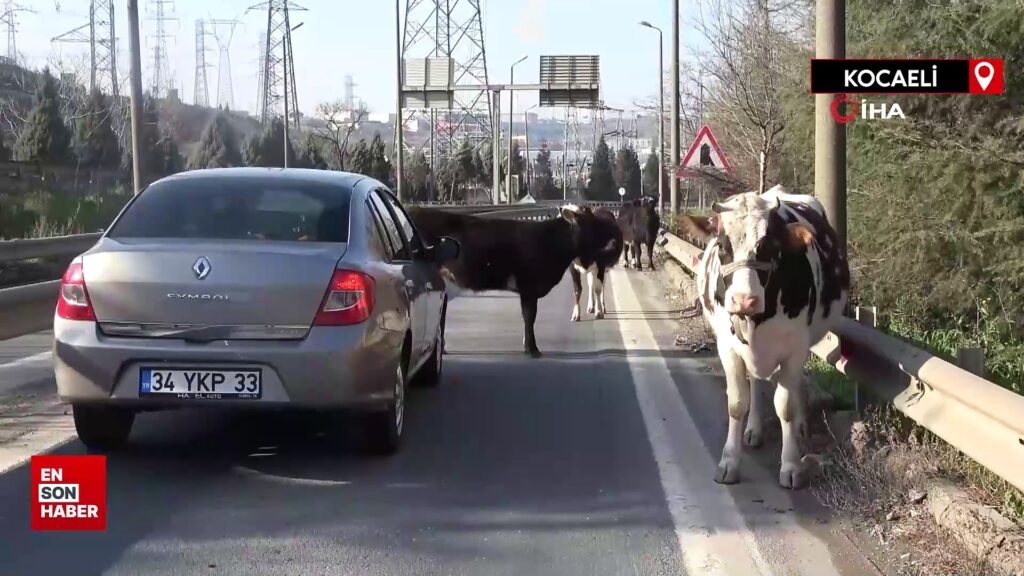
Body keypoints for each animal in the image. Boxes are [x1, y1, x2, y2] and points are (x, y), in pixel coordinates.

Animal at [405, 201, 614, 354]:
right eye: (591, 222)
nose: (613, 236)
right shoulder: (529, 286)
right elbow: (530, 316)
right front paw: (532, 348)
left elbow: (528, 317)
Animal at [679, 184, 847, 487]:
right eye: (722, 246)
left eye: (770, 246)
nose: (744, 300)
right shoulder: (728, 347)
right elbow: (737, 403)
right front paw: (729, 461)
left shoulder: (795, 347)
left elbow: (786, 405)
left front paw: (791, 465)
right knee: (756, 381)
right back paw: (754, 429)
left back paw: (800, 426)